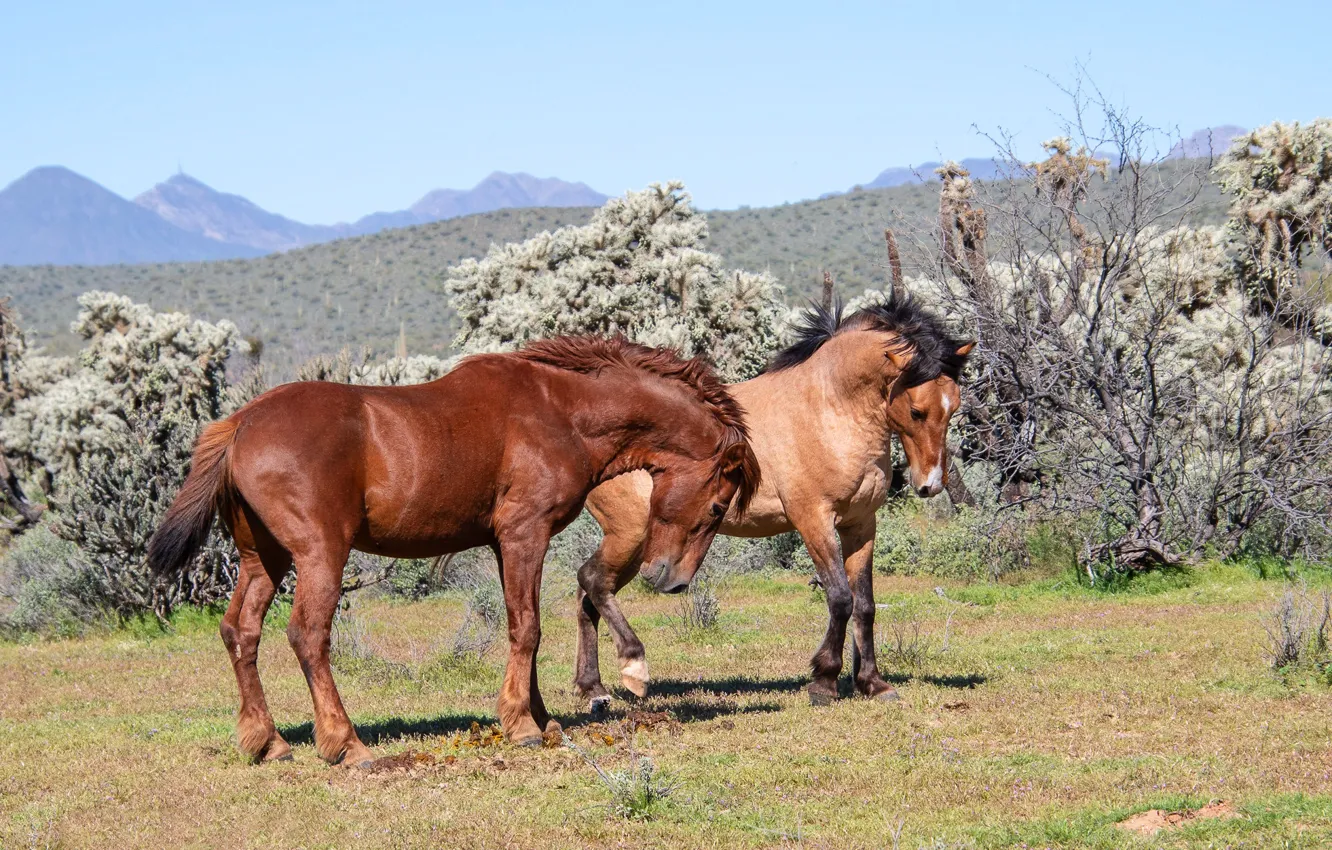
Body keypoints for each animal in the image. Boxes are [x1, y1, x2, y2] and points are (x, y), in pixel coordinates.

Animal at [147, 335, 760, 764]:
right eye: (717, 508)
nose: (671, 580)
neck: (562, 410)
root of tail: (241, 421)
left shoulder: (505, 543)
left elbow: (524, 626)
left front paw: (540, 719)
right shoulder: (525, 534)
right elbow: (527, 627)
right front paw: (522, 724)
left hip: (263, 560)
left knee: (241, 632)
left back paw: (267, 741)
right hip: (320, 555)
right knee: (307, 637)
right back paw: (346, 745)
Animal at [572, 298, 972, 709]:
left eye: (953, 407)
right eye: (916, 410)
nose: (930, 485)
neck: (830, 409)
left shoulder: (860, 525)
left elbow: (865, 604)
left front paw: (873, 683)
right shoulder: (814, 520)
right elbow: (840, 598)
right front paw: (824, 681)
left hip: (639, 546)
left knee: (589, 596)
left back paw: (594, 689)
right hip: (632, 536)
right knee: (593, 582)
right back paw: (629, 671)